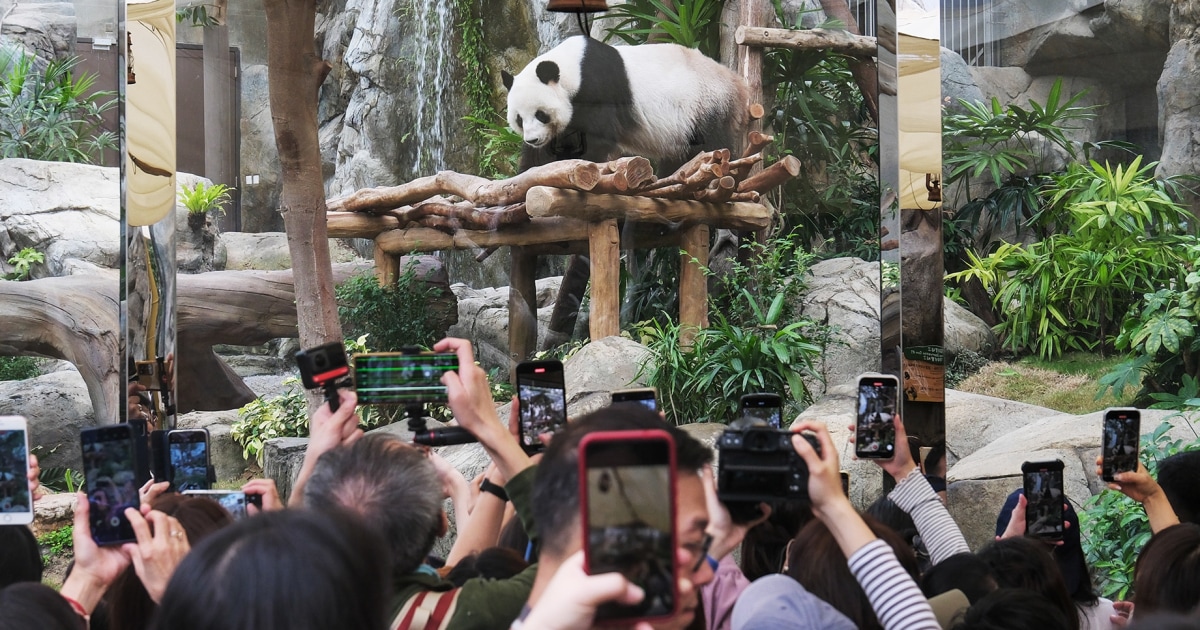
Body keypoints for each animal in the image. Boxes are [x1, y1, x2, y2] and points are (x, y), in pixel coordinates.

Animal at [502, 36, 749, 174]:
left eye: (541, 114)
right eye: (519, 119)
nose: (532, 139)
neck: (572, 68)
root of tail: (737, 83)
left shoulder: (596, 87)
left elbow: (599, 137)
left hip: (707, 103)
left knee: (714, 143)